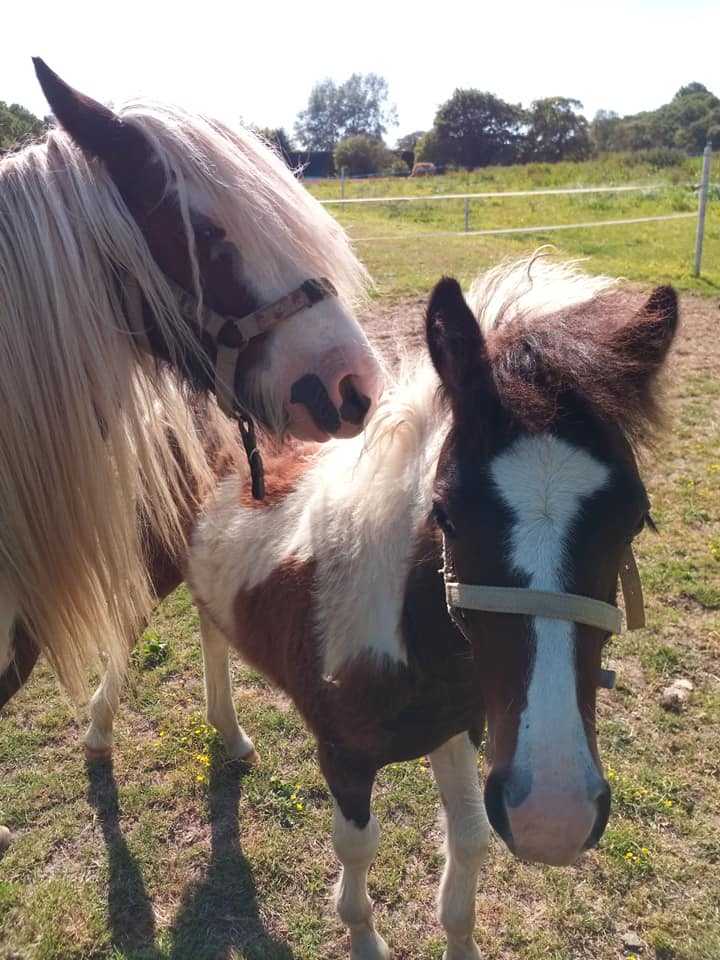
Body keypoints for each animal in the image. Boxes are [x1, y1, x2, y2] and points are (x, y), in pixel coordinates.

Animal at [185, 257, 678, 960]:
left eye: (635, 519)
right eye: (445, 511)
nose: (553, 817)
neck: (403, 637)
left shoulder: (461, 730)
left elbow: (468, 836)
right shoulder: (343, 757)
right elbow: (357, 847)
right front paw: (365, 939)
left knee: (212, 627)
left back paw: (230, 736)